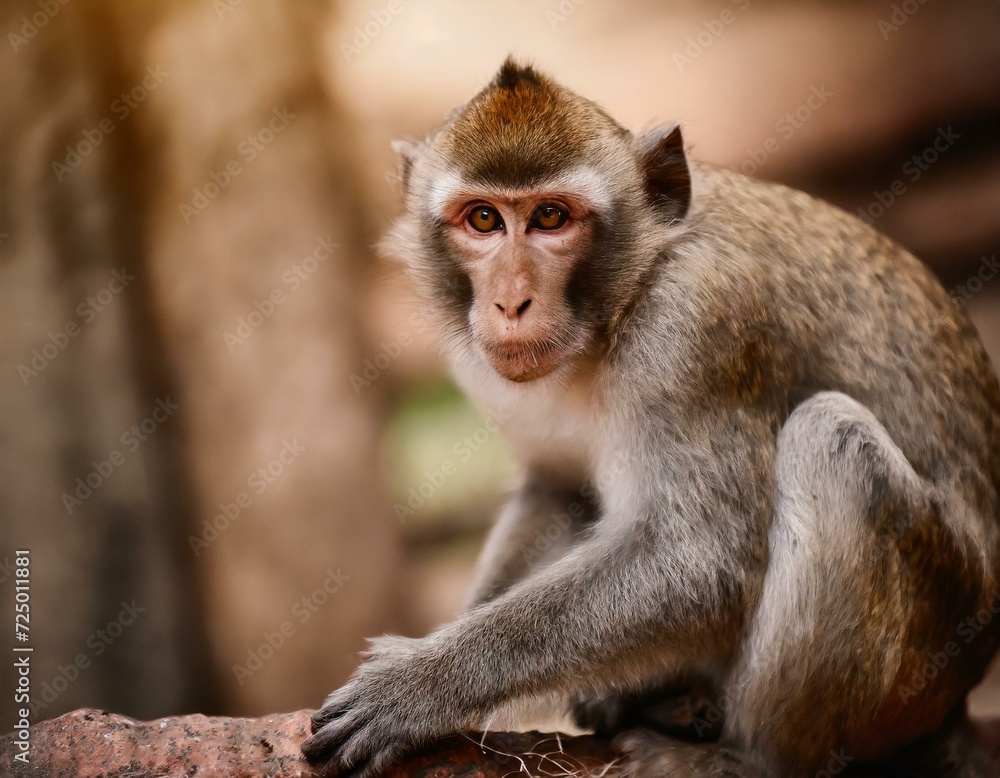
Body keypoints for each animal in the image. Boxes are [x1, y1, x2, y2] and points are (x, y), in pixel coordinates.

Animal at [300, 57, 1000, 772]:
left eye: (550, 217)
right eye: (484, 220)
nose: (511, 303)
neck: (621, 299)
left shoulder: (698, 322)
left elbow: (701, 558)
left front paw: (418, 687)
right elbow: (560, 491)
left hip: (928, 654)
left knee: (833, 439)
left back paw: (746, 760)